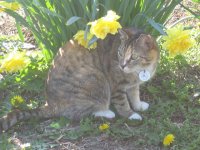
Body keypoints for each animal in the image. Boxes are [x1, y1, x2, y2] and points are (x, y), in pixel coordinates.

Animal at [0, 27, 159, 132]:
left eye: (134, 57)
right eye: (120, 53)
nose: (122, 65)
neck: (140, 70)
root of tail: (49, 104)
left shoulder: (132, 84)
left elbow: (135, 95)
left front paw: (138, 106)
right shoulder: (116, 86)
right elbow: (123, 104)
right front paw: (131, 115)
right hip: (97, 78)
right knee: (82, 112)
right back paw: (106, 112)